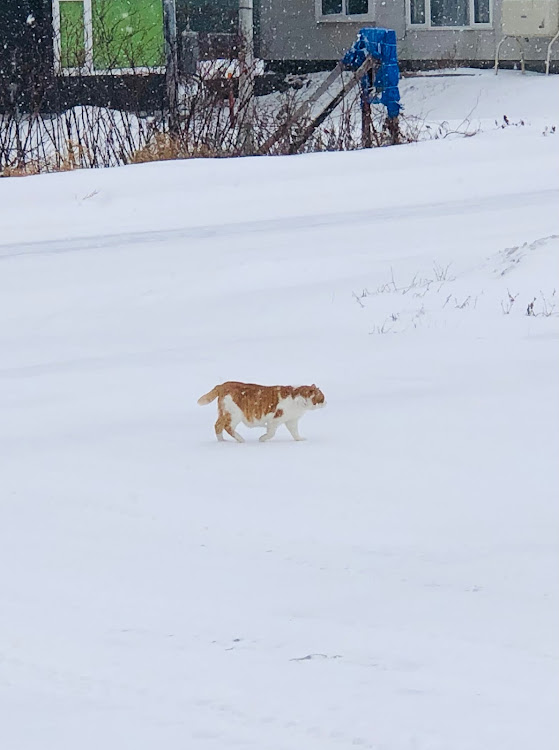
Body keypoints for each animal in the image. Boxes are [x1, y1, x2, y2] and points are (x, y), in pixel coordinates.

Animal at [198, 384, 326, 444]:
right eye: (322, 398)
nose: (326, 402)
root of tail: (223, 385)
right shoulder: (275, 419)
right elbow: (271, 433)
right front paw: (262, 439)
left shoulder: (291, 421)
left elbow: (295, 433)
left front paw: (299, 439)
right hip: (234, 414)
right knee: (227, 427)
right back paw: (240, 439)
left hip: (225, 413)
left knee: (217, 426)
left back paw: (222, 442)